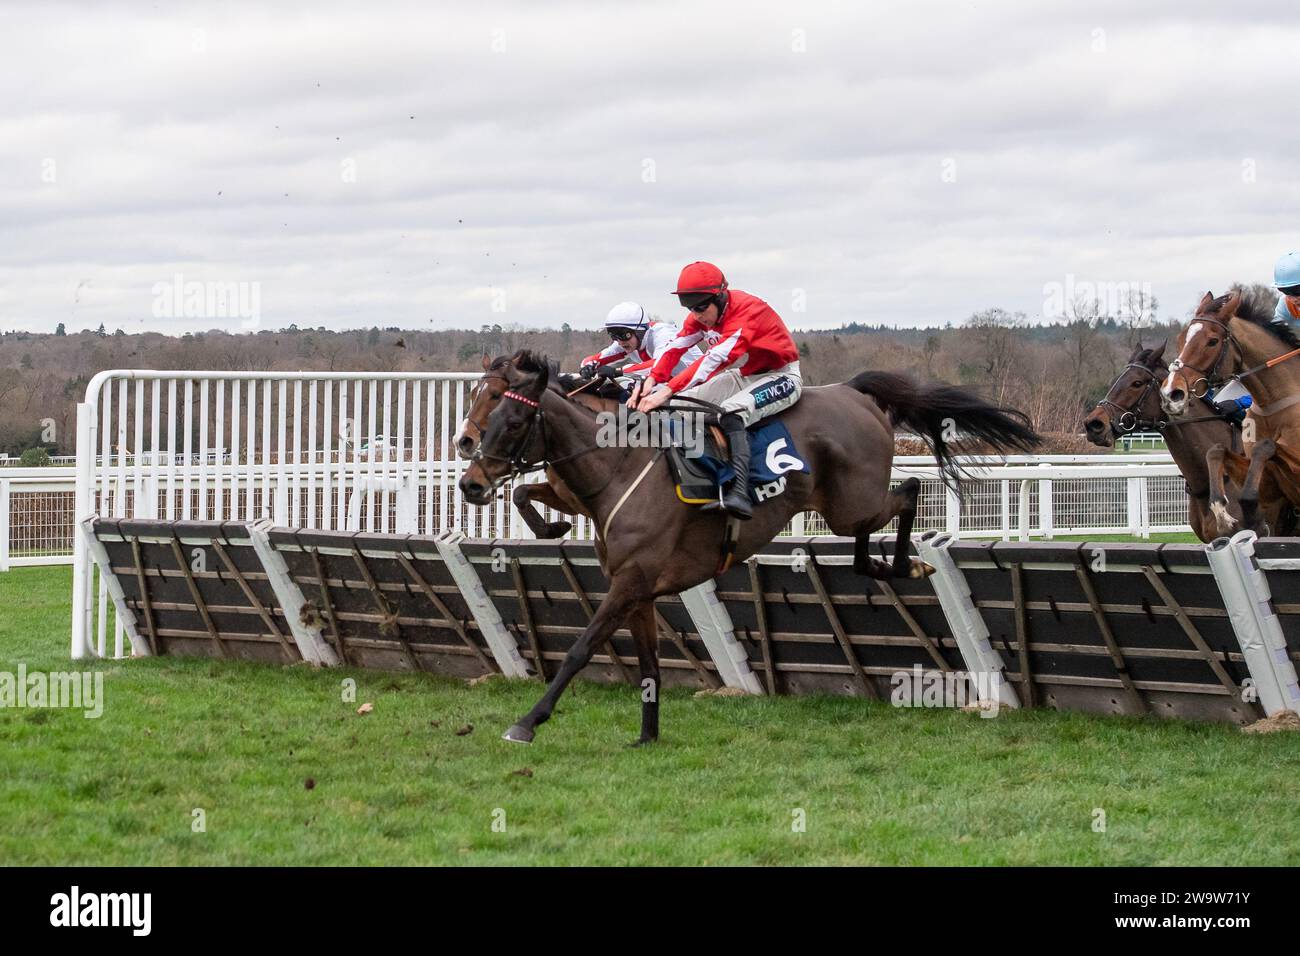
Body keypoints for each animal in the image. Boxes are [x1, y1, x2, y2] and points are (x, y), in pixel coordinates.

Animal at [462, 351, 1040, 749]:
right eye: (483, 408)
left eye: (513, 421)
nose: (470, 479)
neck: (619, 464)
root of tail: (854, 391)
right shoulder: (638, 589)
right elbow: (648, 663)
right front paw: (647, 736)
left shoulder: (630, 582)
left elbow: (580, 650)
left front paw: (526, 723)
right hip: (844, 505)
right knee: (876, 526)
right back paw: (881, 563)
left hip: (854, 502)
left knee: (911, 491)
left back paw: (907, 563)